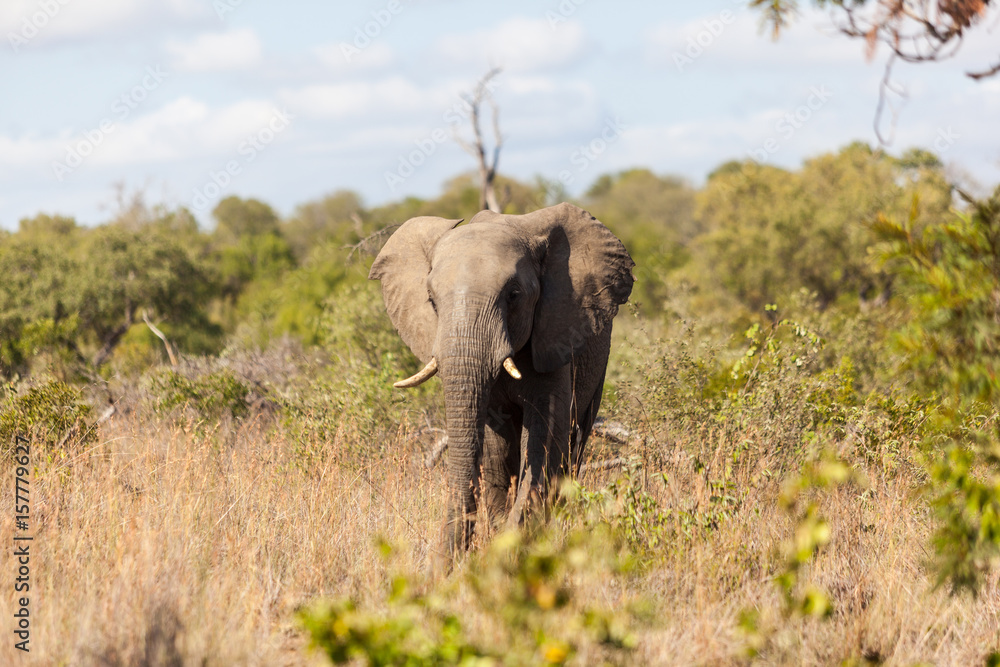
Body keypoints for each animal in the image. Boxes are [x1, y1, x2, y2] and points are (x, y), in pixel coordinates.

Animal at [368, 202, 634, 558]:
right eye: (431, 300)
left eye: (514, 295)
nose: (443, 565)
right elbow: (496, 453)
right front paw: (501, 542)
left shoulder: (554, 336)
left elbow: (543, 442)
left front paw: (515, 550)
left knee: (575, 444)